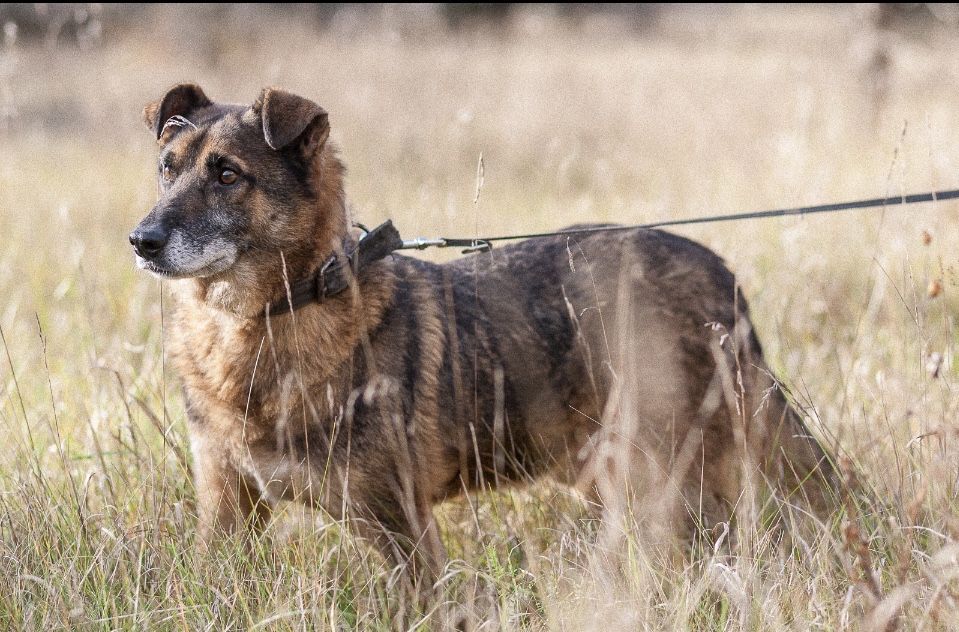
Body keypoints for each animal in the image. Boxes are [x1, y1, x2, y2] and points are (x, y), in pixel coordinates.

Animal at [131, 84, 836, 584]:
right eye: (166, 169)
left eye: (228, 174)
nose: (141, 241)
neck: (266, 317)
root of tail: (718, 270)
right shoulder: (228, 509)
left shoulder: (400, 527)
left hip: (680, 472)